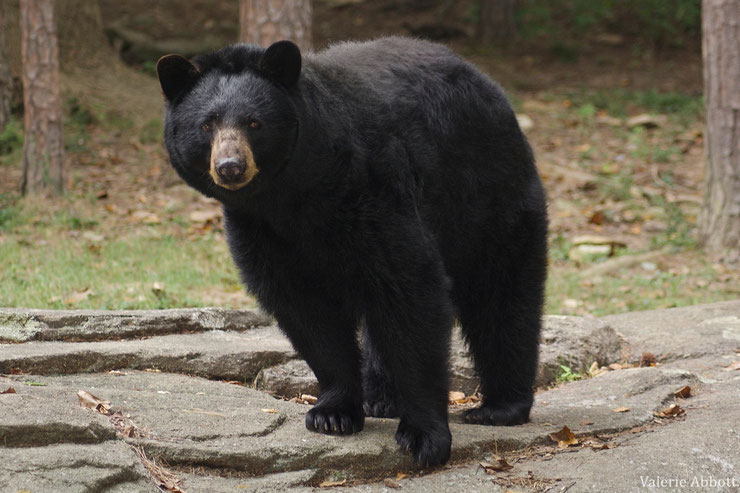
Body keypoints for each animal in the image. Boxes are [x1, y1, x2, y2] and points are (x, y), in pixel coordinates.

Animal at [158, 37, 548, 466]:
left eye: (253, 123)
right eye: (207, 124)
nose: (230, 166)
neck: (293, 194)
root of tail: (487, 82)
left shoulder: (376, 186)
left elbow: (411, 288)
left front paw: (424, 435)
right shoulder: (260, 231)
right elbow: (307, 313)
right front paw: (333, 413)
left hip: (487, 193)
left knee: (502, 293)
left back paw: (500, 406)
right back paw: (382, 399)